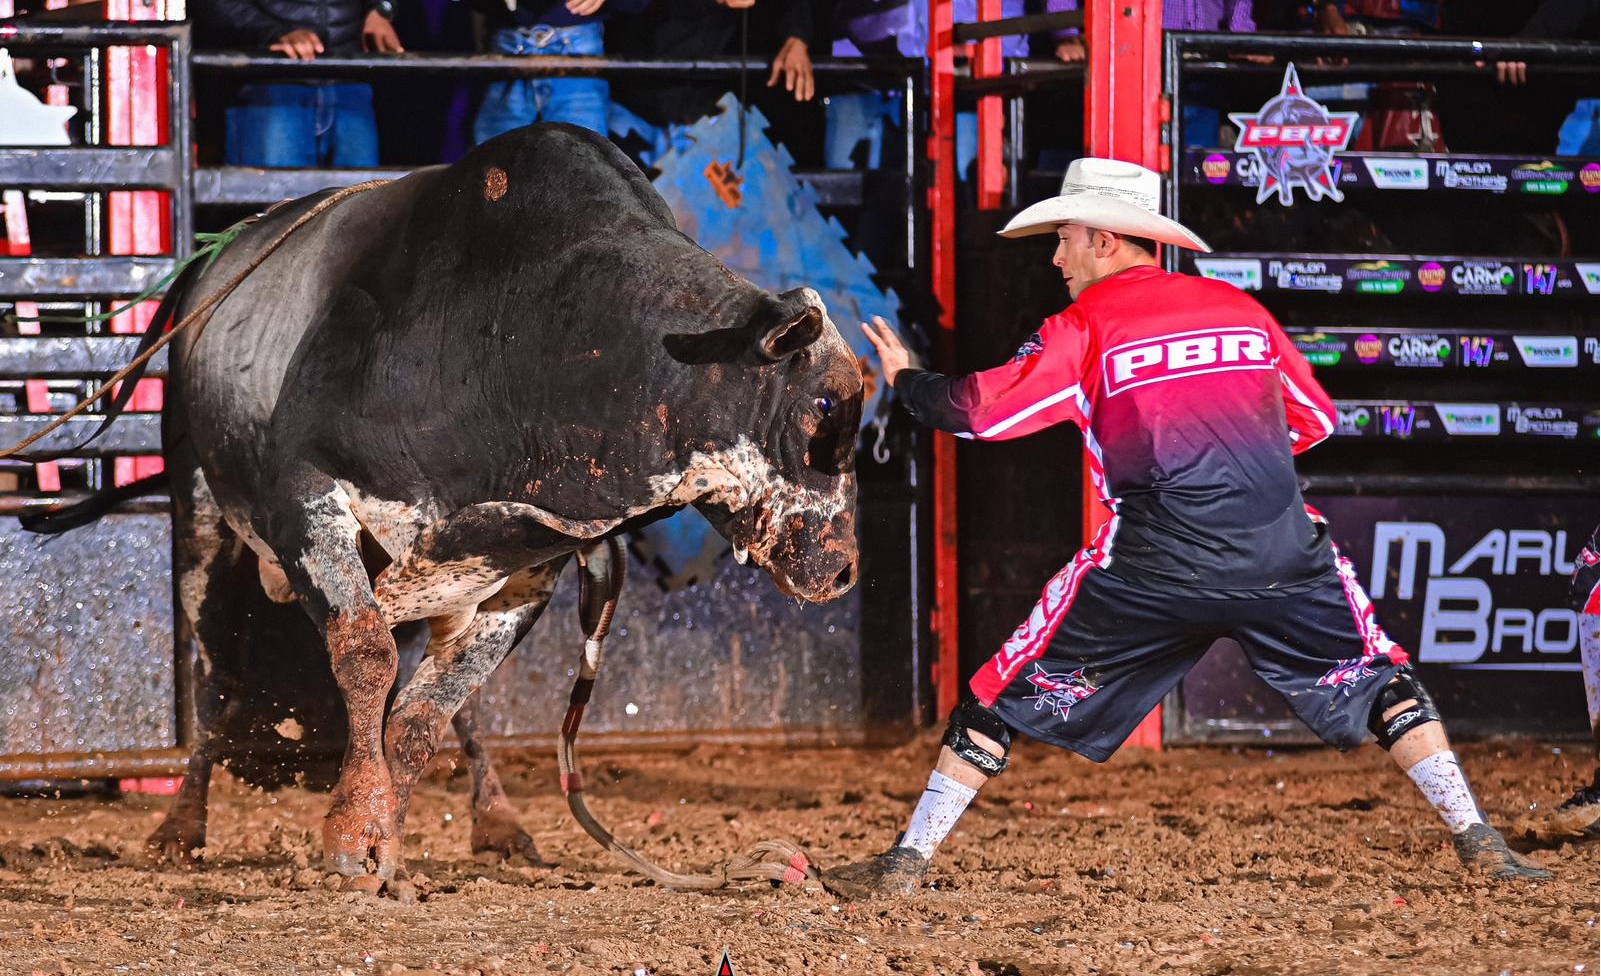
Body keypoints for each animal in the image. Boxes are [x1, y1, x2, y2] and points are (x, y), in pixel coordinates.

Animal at [124, 121, 864, 883]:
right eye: (823, 406)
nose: (843, 569)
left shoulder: (525, 564)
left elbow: (424, 714)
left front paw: (388, 845)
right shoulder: (307, 495)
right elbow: (365, 653)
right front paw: (354, 832)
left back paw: (498, 819)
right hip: (201, 520)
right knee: (216, 679)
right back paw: (178, 827)